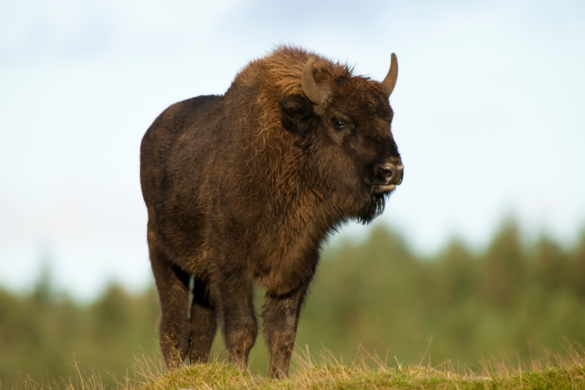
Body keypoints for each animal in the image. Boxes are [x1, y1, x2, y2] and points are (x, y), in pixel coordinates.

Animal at [140, 46, 404, 378]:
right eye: (339, 121)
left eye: (389, 118)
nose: (392, 170)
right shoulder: (231, 262)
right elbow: (242, 329)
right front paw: (240, 376)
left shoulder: (298, 263)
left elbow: (282, 333)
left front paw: (278, 377)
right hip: (162, 253)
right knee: (173, 325)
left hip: (202, 277)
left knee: (201, 328)